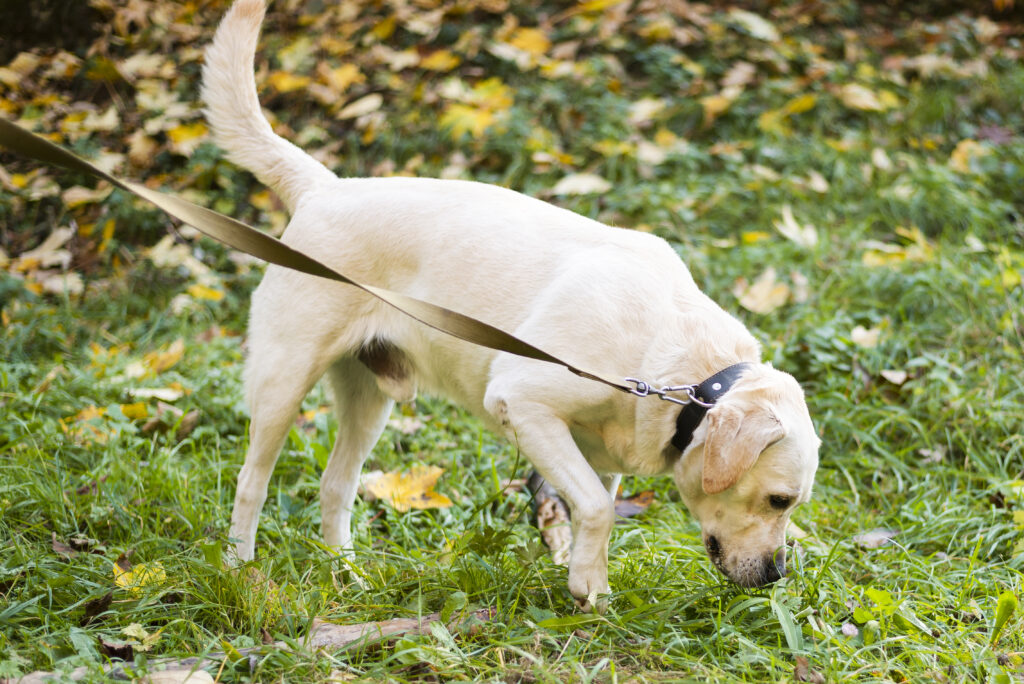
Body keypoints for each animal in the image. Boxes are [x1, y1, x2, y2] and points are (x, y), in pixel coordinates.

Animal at [203, 0, 819, 610]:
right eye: (779, 500)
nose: (777, 576)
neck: (683, 376)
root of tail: (324, 187)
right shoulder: (523, 401)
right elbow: (597, 507)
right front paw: (591, 587)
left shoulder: (595, 454)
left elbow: (592, 509)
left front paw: (584, 582)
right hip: (283, 384)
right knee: (250, 484)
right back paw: (240, 573)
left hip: (368, 400)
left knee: (336, 486)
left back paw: (347, 576)